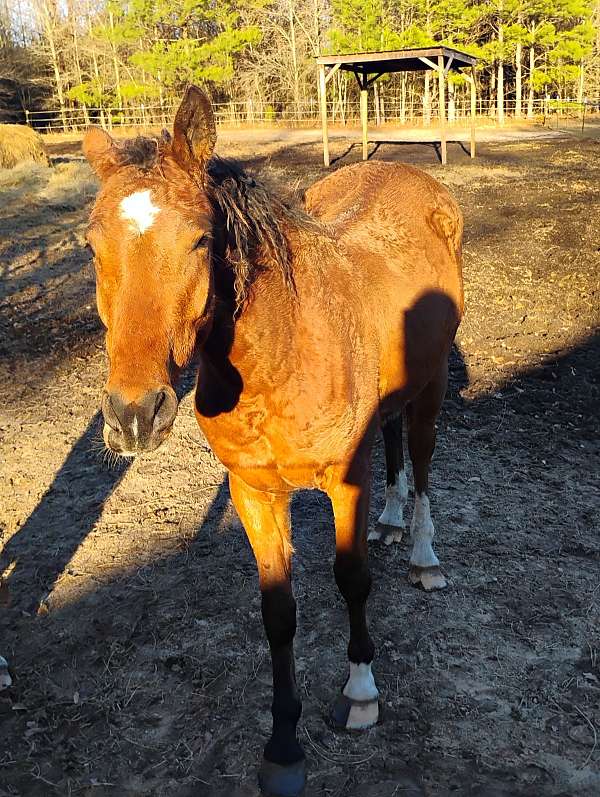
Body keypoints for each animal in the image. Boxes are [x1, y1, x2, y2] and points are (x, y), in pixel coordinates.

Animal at [82, 87, 464, 796]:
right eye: (93, 246)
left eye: (200, 240)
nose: (134, 415)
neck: (282, 354)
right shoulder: (254, 493)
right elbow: (278, 613)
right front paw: (284, 746)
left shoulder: (346, 481)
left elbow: (352, 580)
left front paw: (361, 693)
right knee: (394, 438)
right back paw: (392, 522)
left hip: (432, 384)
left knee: (422, 458)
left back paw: (423, 554)